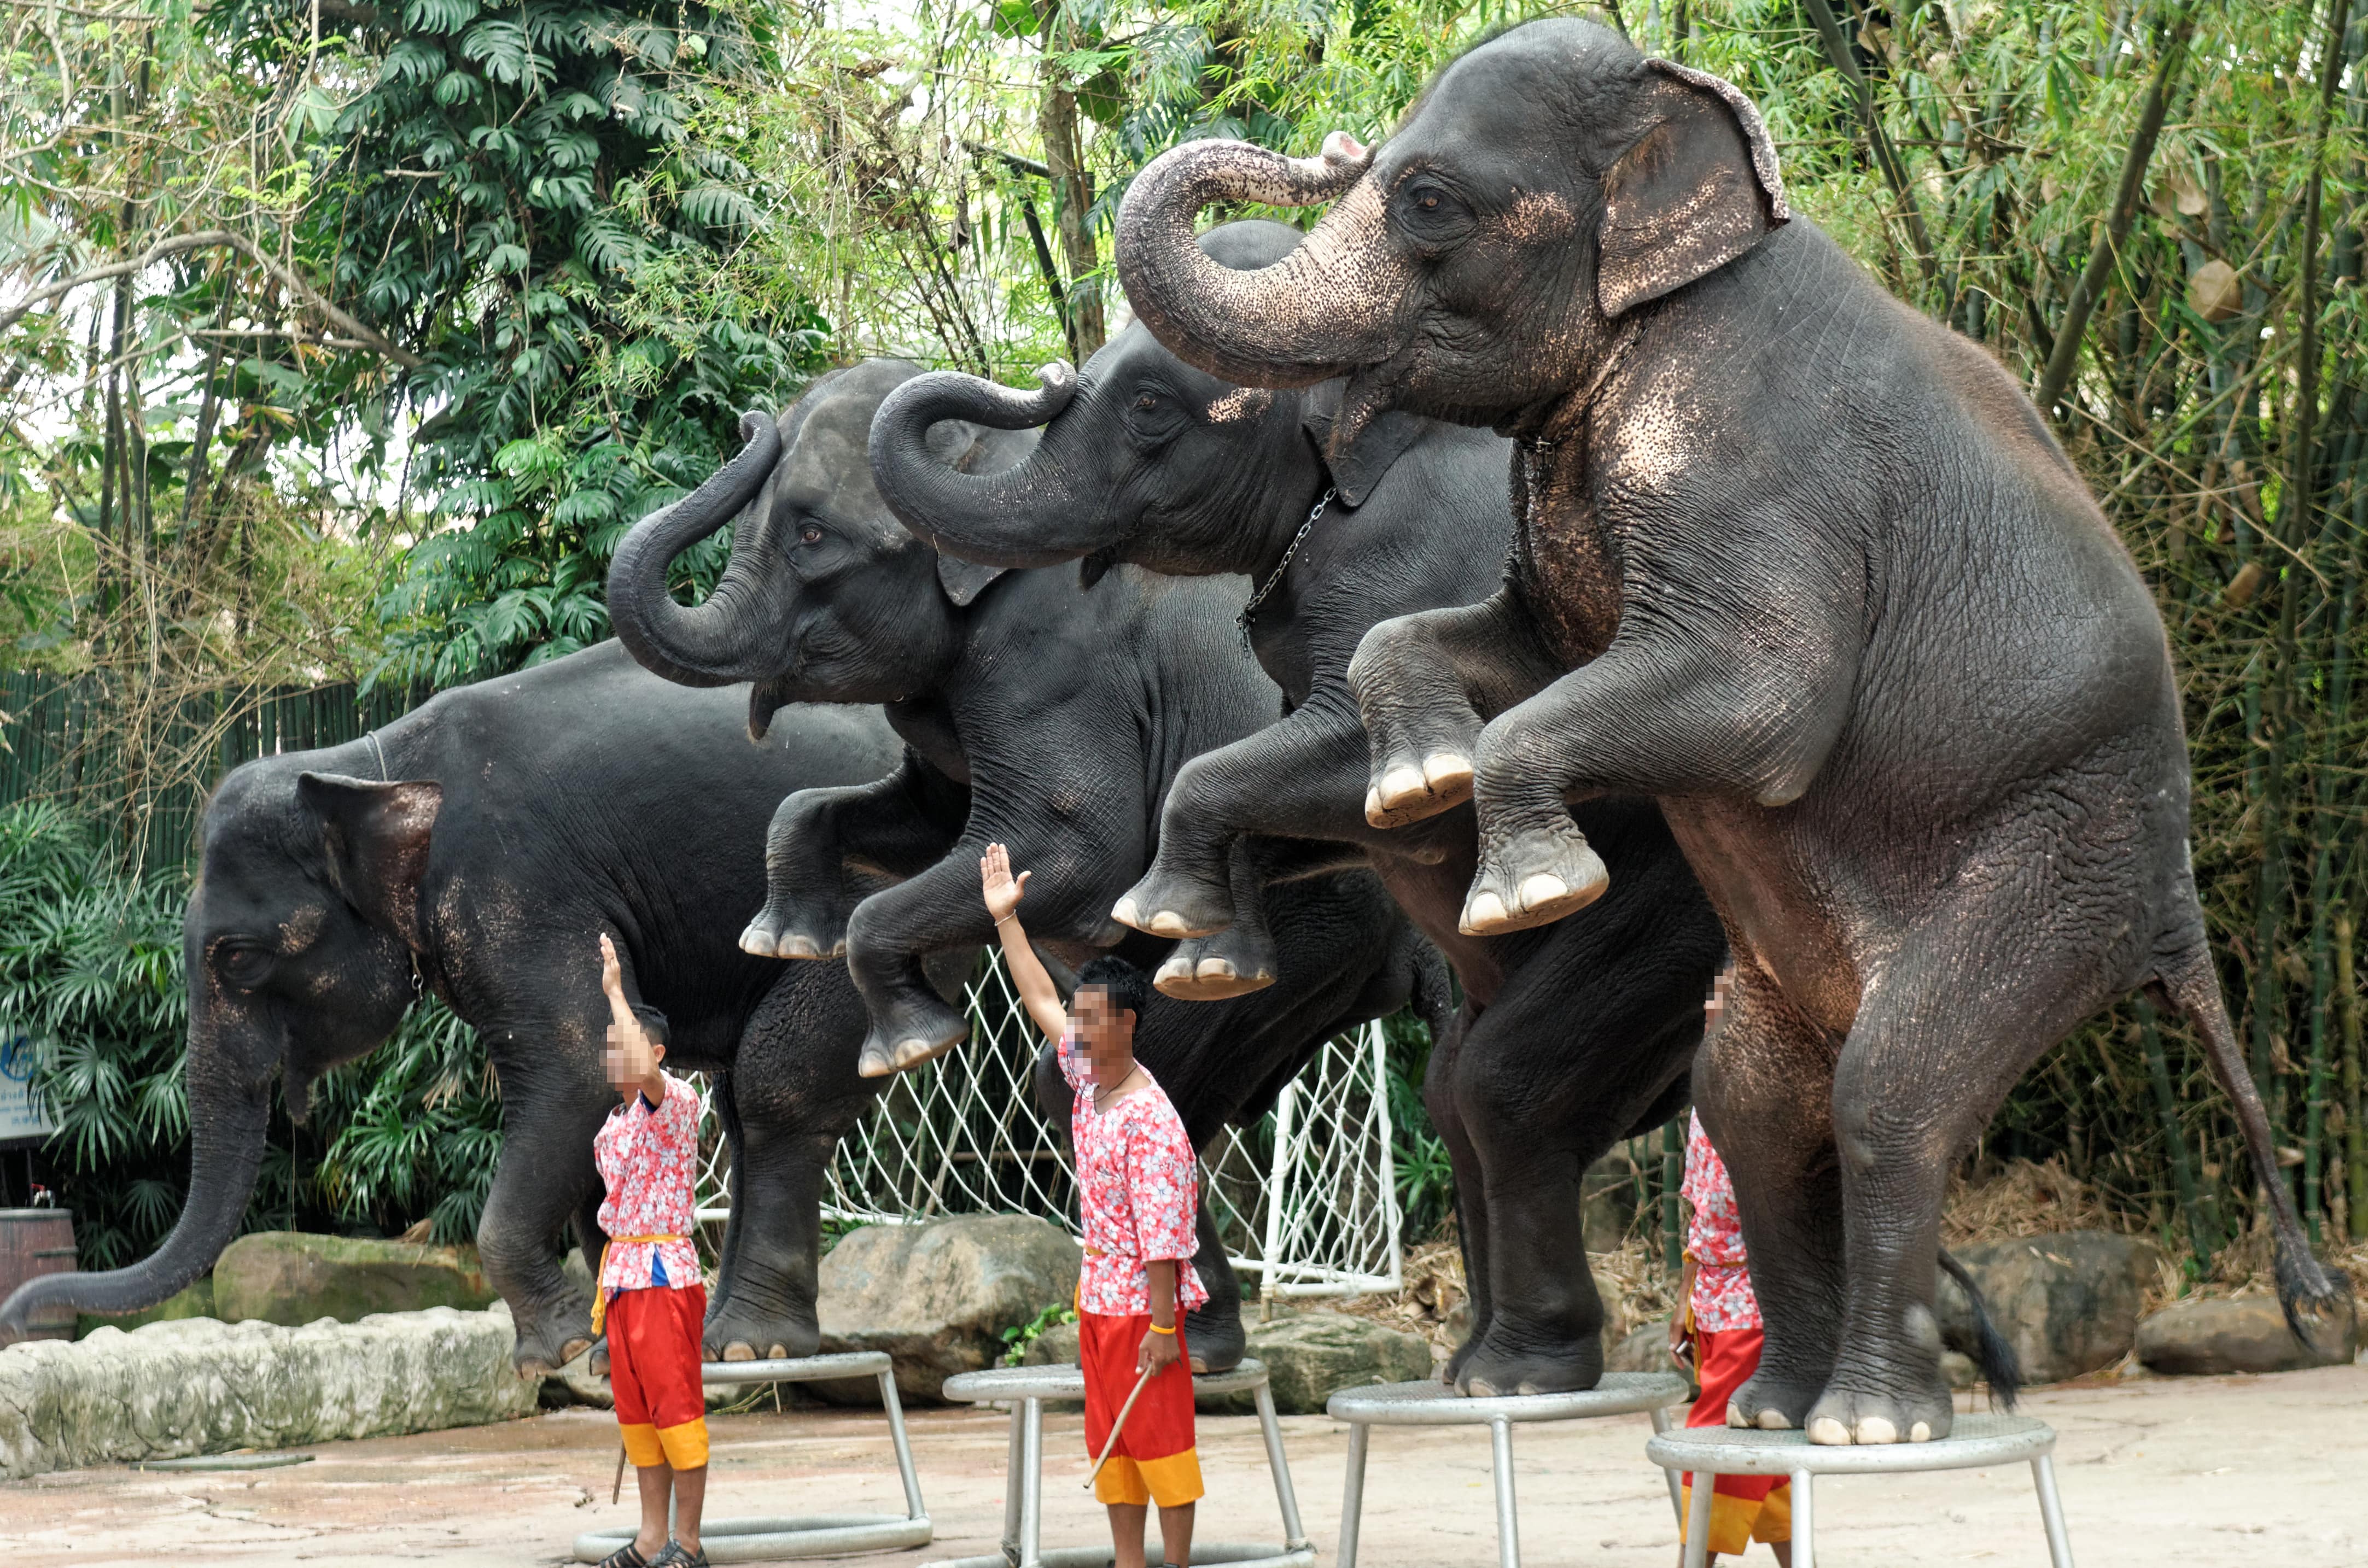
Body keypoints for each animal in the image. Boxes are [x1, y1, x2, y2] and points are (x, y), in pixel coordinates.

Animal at [0, 644, 905, 1373]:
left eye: (241, 959)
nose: (19, 1317)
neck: (364, 761)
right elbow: (589, 1095)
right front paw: (605, 1355)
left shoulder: (511, 882)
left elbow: (581, 1063)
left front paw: (558, 1354)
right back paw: (728, 1344)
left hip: (856, 898)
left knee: (774, 1085)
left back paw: (751, 1347)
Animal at [601, 362, 1430, 1373]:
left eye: (812, 536)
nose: (753, 416)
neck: (1008, 467)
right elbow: (903, 818)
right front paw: (783, 936)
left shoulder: (1049, 660)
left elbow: (1075, 850)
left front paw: (912, 1040)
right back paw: (1198, 1344)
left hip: (1323, 922)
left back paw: (1187, 1345)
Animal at [862, 218, 1733, 1402]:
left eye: (1149, 402)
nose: (1036, 373)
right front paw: (1203, 943)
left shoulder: (1417, 571)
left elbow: (1389, 782)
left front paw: (1167, 919)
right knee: (1460, 1092)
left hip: (1670, 916)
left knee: (1500, 1086)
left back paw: (1513, 1380)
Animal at [1113, 21, 2349, 1449]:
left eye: (1425, 200)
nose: (1317, 146)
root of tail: (2178, 912)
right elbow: (1516, 652)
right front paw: (1416, 779)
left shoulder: (1746, 458)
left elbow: (1759, 699)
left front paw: (1528, 884)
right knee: (1753, 1105)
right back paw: (1767, 1415)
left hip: (2063, 861)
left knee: (1891, 1086)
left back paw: (1865, 1428)